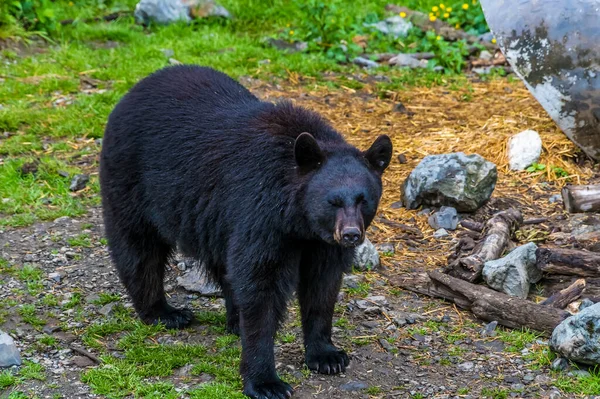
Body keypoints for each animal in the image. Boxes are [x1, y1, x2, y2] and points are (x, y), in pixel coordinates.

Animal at [101, 66, 394, 399]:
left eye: (363, 200)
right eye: (333, 201)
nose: (350, 235)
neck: (298, 220)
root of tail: (136, 87)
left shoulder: (320, 244)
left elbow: (322, 286)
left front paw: (327, 355)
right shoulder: (260, 213)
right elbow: (261, 286)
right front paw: (266, 381)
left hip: (212, 220)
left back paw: (232, 320)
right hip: (131, 178)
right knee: (139, 248)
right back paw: (164, 312)